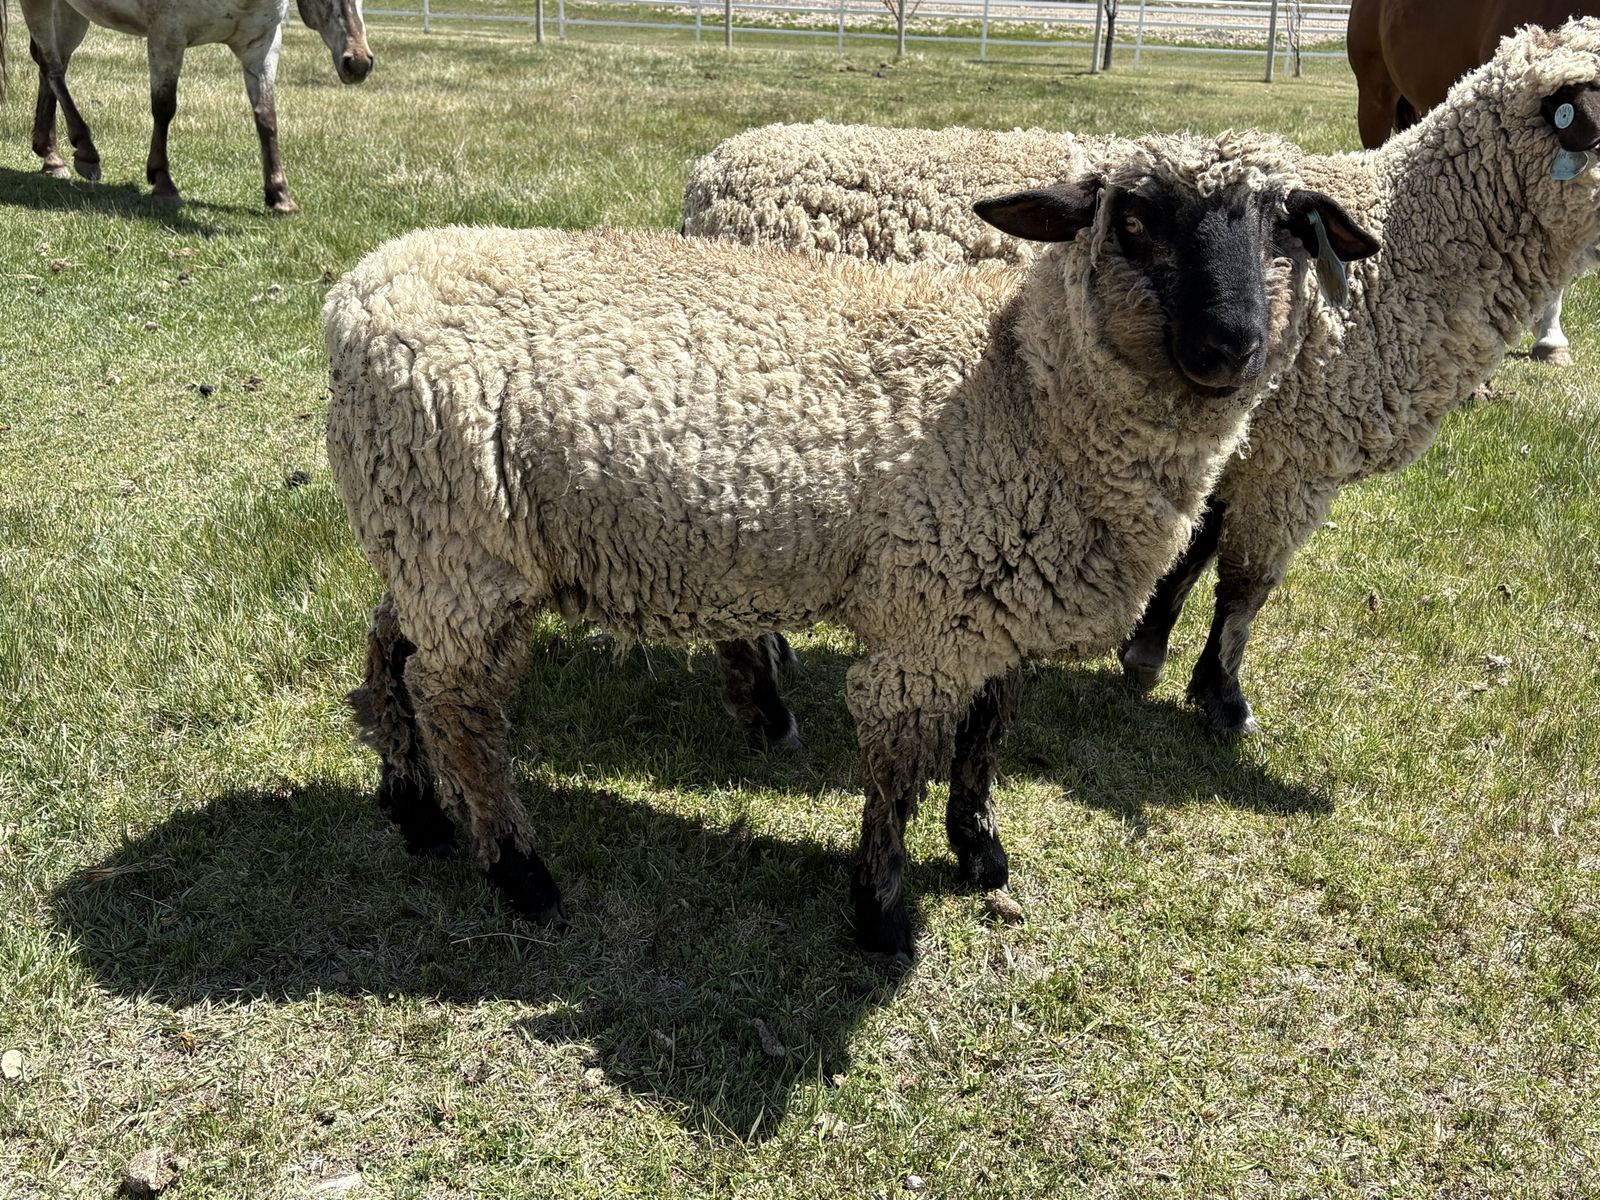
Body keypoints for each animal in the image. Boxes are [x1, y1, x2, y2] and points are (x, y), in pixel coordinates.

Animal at [324, 132, 1378, 957]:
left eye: (1290, 225)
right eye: (1135, 220)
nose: (1229, 344)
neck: (1023, 394)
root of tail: (357, 294)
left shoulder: (996, 609)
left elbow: (985, 737)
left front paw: (979, 850)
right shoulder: (924, 617)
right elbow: (899, 770)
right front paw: (882, 915)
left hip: (425, 536)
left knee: (392, 648)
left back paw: (413, 809)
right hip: (463, 545)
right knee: (458, 704)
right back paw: (519, 871)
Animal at [684, 19, 1600, 740]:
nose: (1231, 345)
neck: (1410, 252)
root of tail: (710, 177)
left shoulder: (1236, 441)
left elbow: (1193, 554)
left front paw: (1148, 654)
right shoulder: (1295, 459)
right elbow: (1246, 584)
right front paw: (1223, 700)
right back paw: (764, 700)